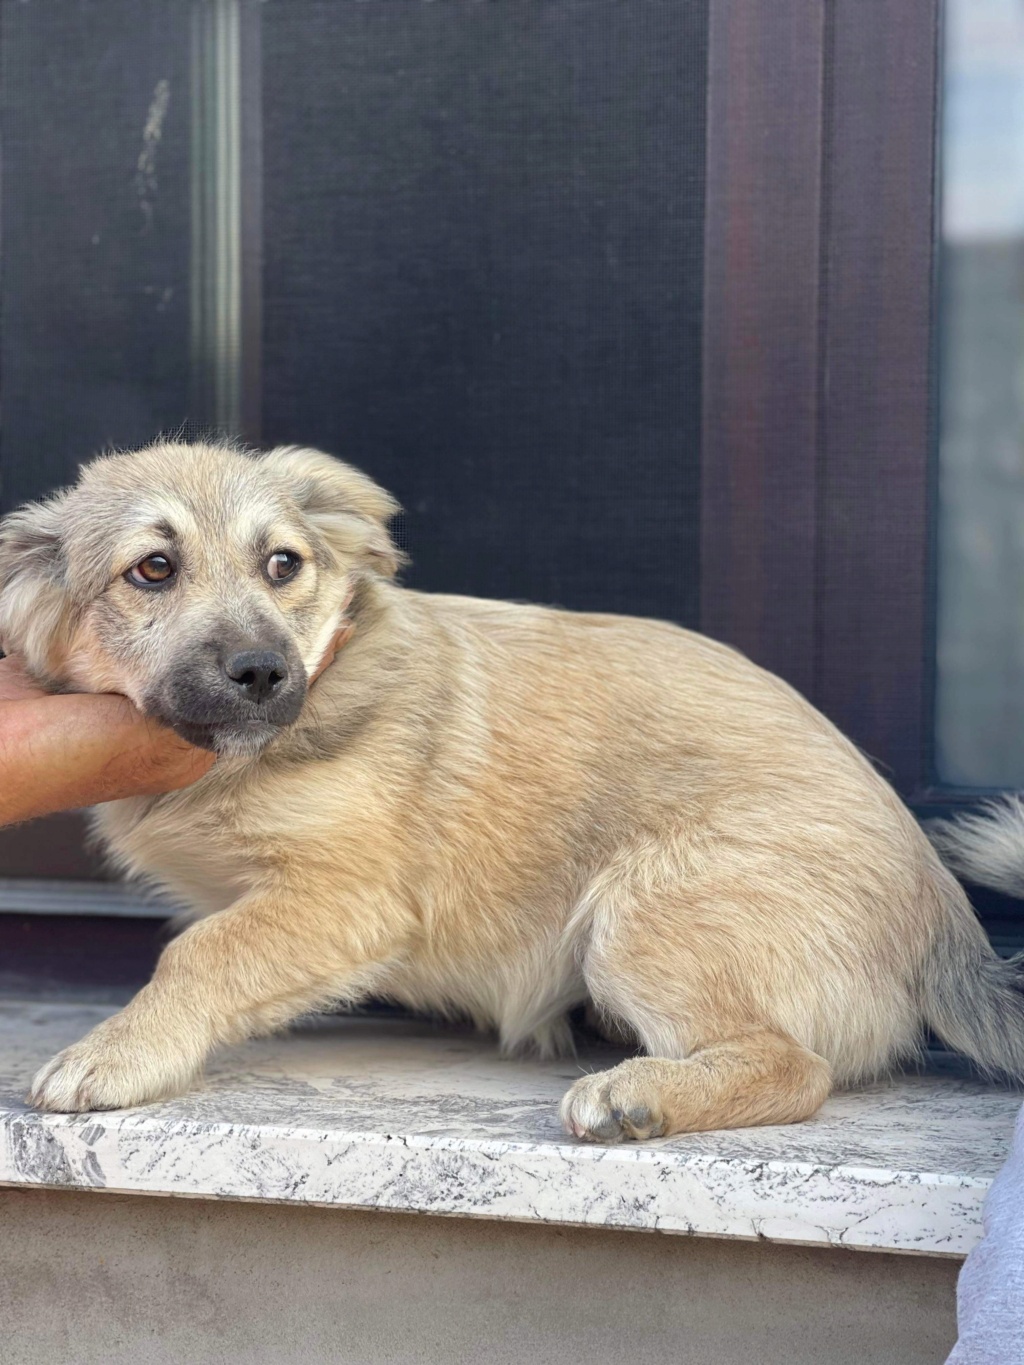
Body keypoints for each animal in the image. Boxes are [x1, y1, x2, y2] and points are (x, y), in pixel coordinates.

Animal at [2, 442, 1024, 1135]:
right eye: (154, 568)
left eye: (282, 564)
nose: (263, 672)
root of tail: (946, 919)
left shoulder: (351, 899)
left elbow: (202, 952)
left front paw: (119, 1050)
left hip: (645, 911)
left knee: (795, 1067)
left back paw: (641, 1093)